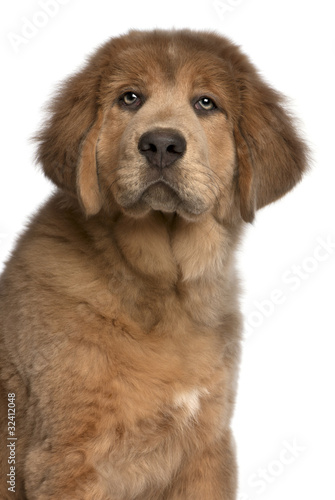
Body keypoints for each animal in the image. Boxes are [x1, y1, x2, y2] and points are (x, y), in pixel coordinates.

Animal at [0, 29, 308, 498]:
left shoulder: (207, 448)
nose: (161, 144)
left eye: (205, 103)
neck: (165, 288)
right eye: (130, 98)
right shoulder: (66, 459)